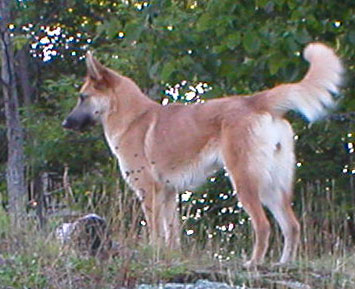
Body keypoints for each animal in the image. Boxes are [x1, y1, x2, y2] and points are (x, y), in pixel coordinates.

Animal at [64, 42, 344, 266]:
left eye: (82, 97)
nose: (65, 124)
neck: (133, 117)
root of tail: (255, 101)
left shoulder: (149, 191)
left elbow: (155, 231)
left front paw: (152, 253)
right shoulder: (169, 193)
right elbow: (172, 233)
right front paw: (169, 256)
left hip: (245, 182)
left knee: (263, 226)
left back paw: (253, 263)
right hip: (273, 187)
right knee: (291, 226)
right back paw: (283, 264)